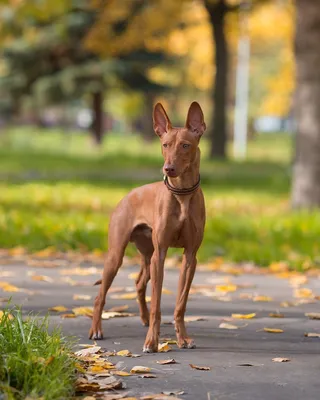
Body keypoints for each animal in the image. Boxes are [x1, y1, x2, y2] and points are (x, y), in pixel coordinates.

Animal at [89, 101, 206, 352]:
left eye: (185, 145)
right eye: (165, 145)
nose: (168, 168)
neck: (181, 194)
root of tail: (127, 195)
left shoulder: (190, 257)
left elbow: (180, 304)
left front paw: (183, 338)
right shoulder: (160, 255)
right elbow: (157, 306)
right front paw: (152, 342)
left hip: (147, 253)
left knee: (139, 283)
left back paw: (142, 319)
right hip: (117, 256)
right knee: (100, 295)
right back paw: (96, 330)